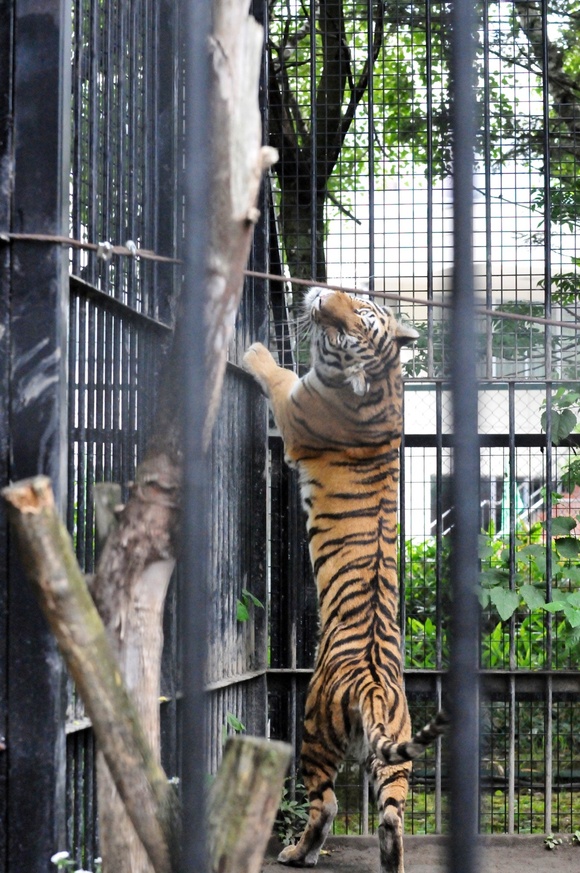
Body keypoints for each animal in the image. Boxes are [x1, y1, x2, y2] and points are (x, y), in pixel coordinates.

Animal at [242, 288, 446, 872]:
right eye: (359, 302)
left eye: (351, 326)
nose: (319, 295)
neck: (383, 378)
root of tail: (374, 688)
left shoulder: (293, 406)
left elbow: (276, 373)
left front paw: (254, 349)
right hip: (396, 754)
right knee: (392, 817)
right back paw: (392, 860)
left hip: (313, 730)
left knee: (325, 804)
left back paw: (297, 852)